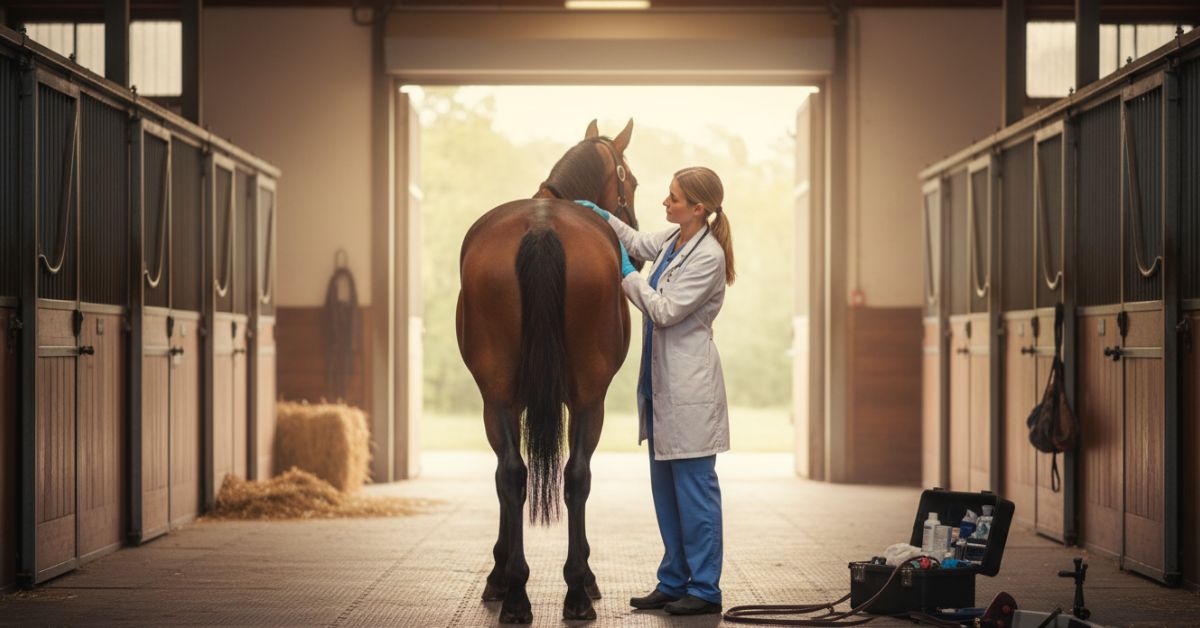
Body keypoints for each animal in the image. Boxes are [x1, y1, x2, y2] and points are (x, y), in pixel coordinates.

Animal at [456, 119, 641, 623]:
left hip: (503, 395)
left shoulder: (508, 399)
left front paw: (500, 576)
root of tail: (541, 227)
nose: (636, 239)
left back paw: (524, 593)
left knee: (516, 475)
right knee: (571, 476)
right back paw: (573, 589)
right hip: (586, 398)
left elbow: (507, 477)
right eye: (633, 183)